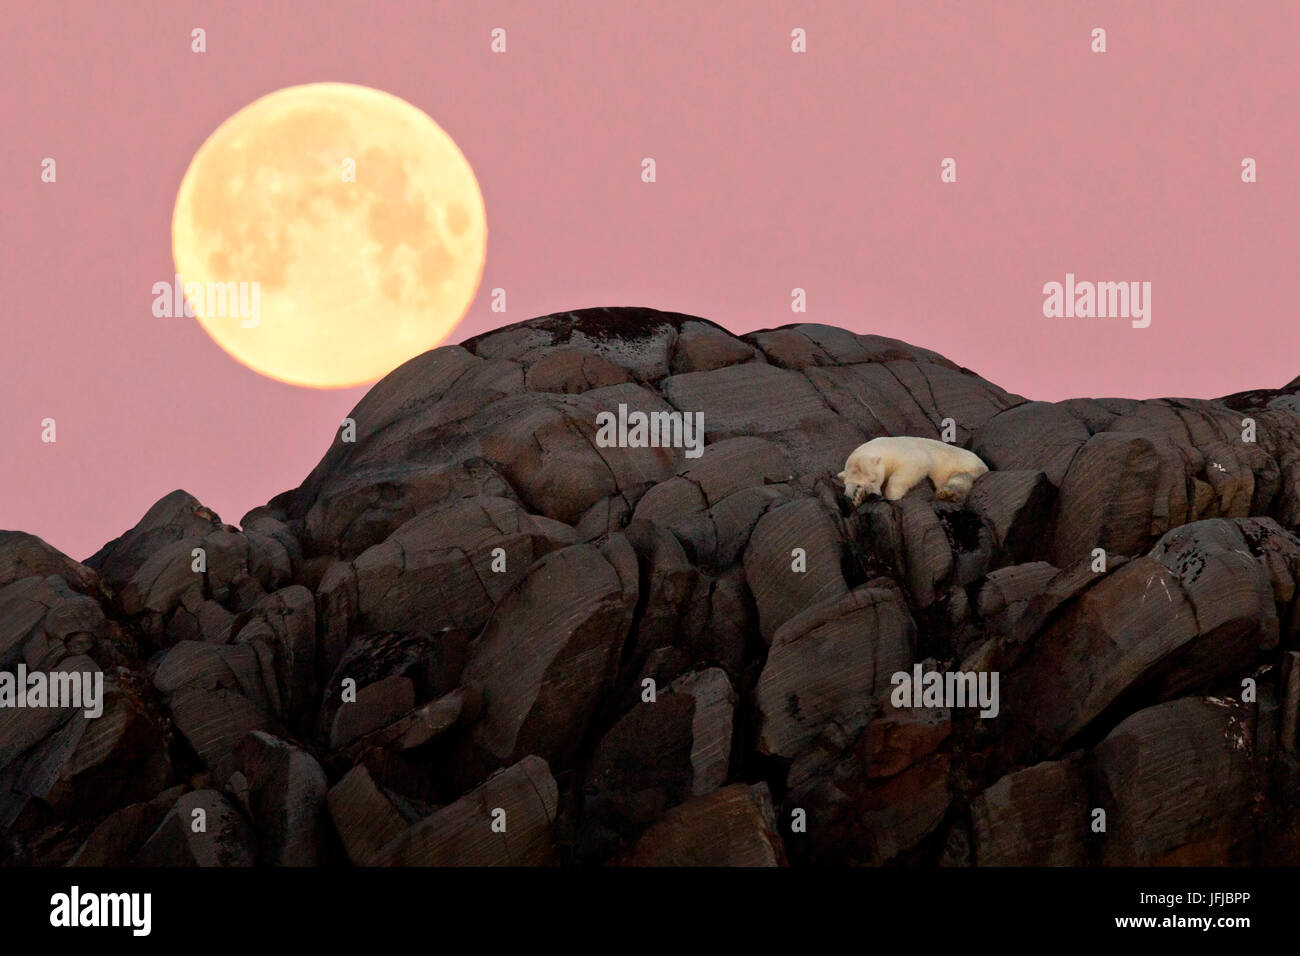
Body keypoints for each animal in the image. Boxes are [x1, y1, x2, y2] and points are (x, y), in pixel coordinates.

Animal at [837, 434, 987, 509]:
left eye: (874, 479)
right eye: (858, 484)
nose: (875, 495)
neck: (881, 448)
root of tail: (983, 465)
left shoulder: (903, 452)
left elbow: (915, 464)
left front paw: (892, 495)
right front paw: (858, 496)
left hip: (965, 465)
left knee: (960, 479)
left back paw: (946, 494)